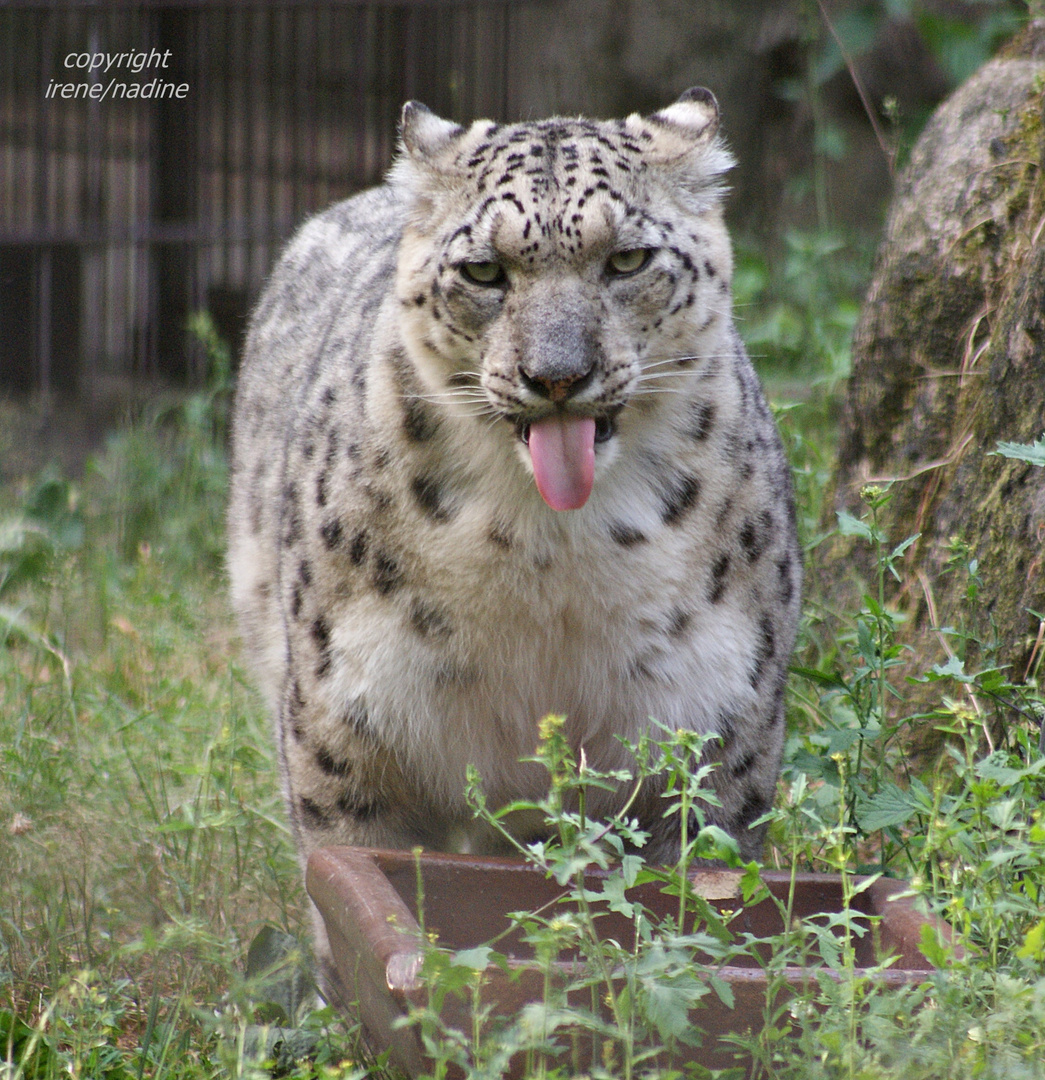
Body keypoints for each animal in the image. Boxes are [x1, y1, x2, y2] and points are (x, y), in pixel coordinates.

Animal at [226, 86, 798, 928]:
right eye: (484, 271)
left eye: (626, 259)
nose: (556, 374)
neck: (551, 552)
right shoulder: (347, 730)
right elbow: (344, 879)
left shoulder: (715, 725)